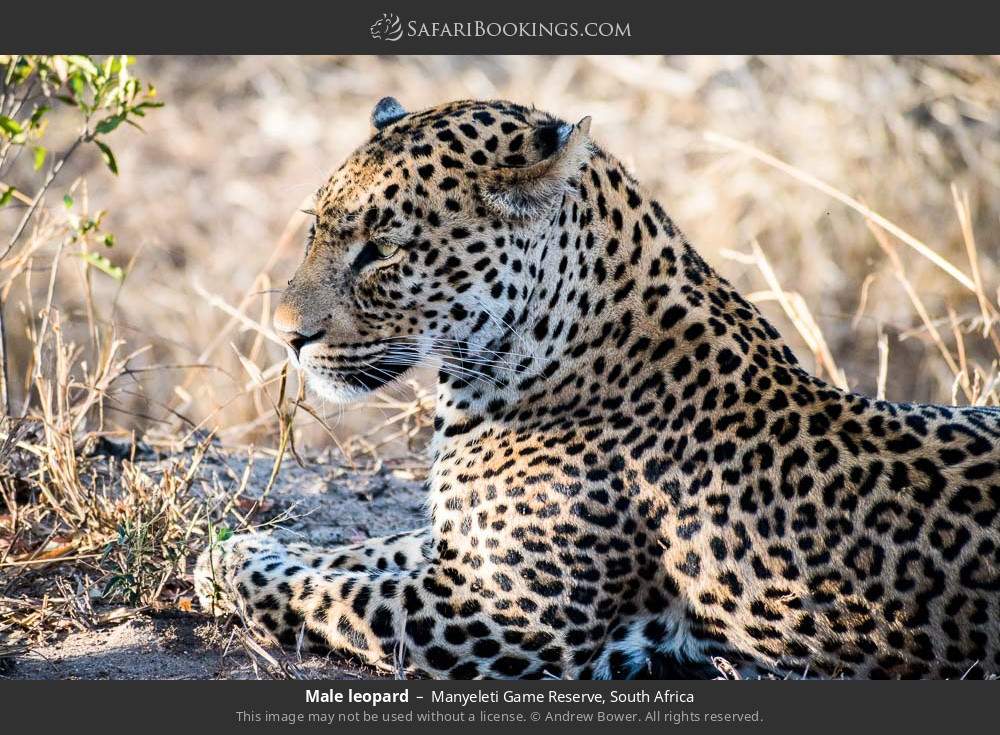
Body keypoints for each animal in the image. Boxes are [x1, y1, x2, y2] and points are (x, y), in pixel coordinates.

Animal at [195, 98, 1000, 684]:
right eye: (315, 231)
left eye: (384, 250)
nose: (286, 335)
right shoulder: (453, 551)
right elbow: (355, 553)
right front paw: (239, 544)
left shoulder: (506, 618)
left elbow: (332, 593)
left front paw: (233, 562)